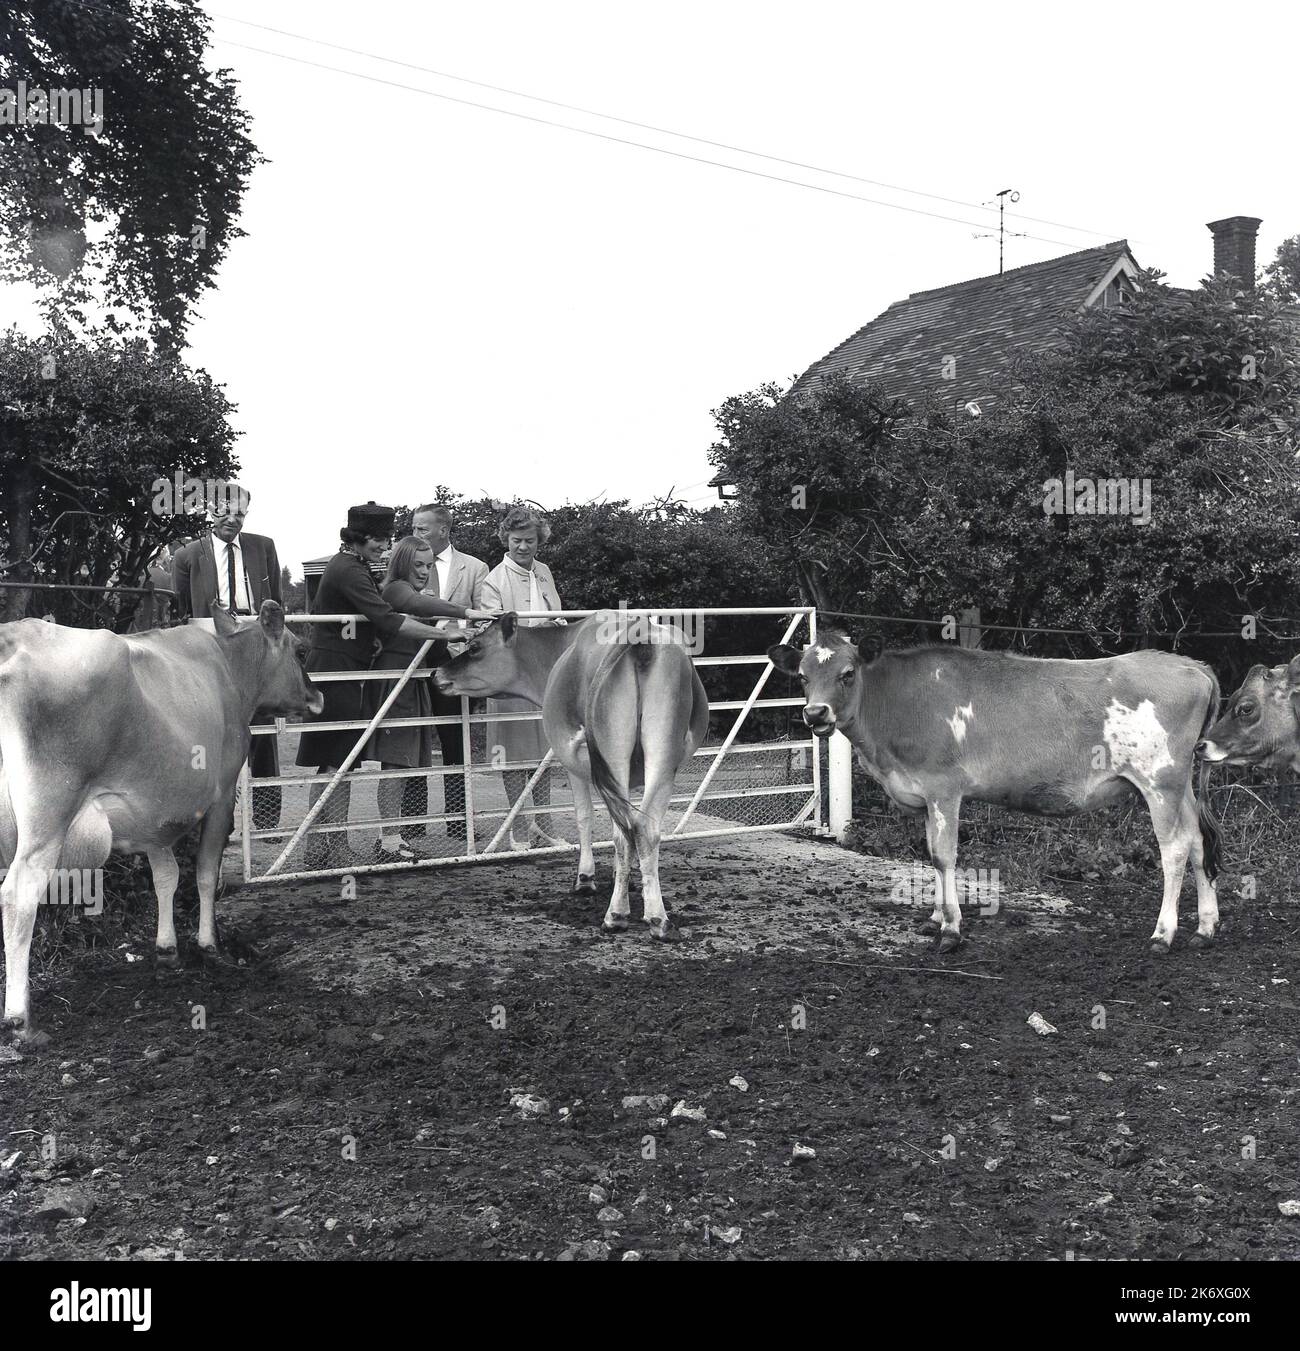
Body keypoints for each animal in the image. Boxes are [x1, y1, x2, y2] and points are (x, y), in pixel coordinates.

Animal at [1, 605, 322, 1042]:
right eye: (302, 651)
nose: (317, 696)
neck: (227, 663)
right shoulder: (223, 794)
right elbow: (204, 872)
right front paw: (208, 944)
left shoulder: (153, 813)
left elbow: (165, 876)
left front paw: (167, 949)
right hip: (46, 821)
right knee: (19, 895)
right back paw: (20, 1018)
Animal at [435, 613, 702, 940]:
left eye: (475, 647)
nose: (436, 673)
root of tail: (640, 632)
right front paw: (627, 877)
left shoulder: (576, 763)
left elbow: (584, 816)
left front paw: (585, 878)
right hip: (664, 757)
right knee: (644, 829)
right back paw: (657, 918)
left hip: (614, 753)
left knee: (623, 833)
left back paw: (616, 915)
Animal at [767, 634, 1221, 961]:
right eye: (803, 677)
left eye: (847, 673)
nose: (815, 714)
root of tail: (1190, 665)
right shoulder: (925, 796)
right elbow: (929, 851)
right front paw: (935, 916)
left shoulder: (943, 787)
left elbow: (943, 855)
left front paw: (951, 930)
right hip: (1180, 785)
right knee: (1199, 841)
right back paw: (1205, 927)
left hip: (1159, 780)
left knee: (1175, 848)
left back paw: (1163, 934)